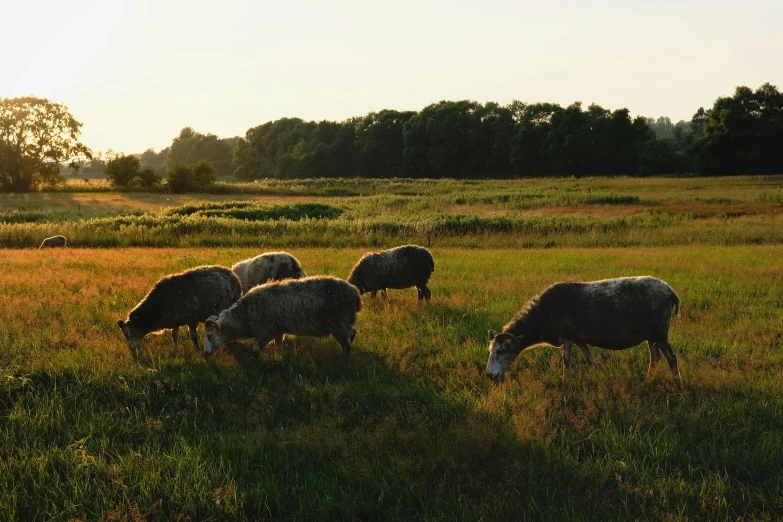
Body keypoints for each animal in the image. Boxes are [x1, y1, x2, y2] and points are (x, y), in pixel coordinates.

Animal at [202, 274, 362, 360]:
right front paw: (280, 358)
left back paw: (344, 362)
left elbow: (255, 351)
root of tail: (355, 293)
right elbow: (278, 347)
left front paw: (254, 364)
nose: (205, 354)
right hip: (345, 321)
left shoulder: (266, 332)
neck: (245, 316)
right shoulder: (278, 331)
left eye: (209, 336)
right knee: (352, 333)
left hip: (338, 322)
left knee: (346, 344)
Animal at [486, 274, 684, 388]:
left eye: (500, 351)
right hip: (651, 335)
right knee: (655, 358)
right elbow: (590, 360)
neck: (541, 317)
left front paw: (565, 382)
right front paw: (604, 373)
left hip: (659, 332)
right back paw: (647, 381)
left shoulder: (567, 336)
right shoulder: (579, 338)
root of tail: (670, 291)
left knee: (671, 357)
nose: (489, 375)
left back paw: (678, 385)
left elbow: (566, 360)